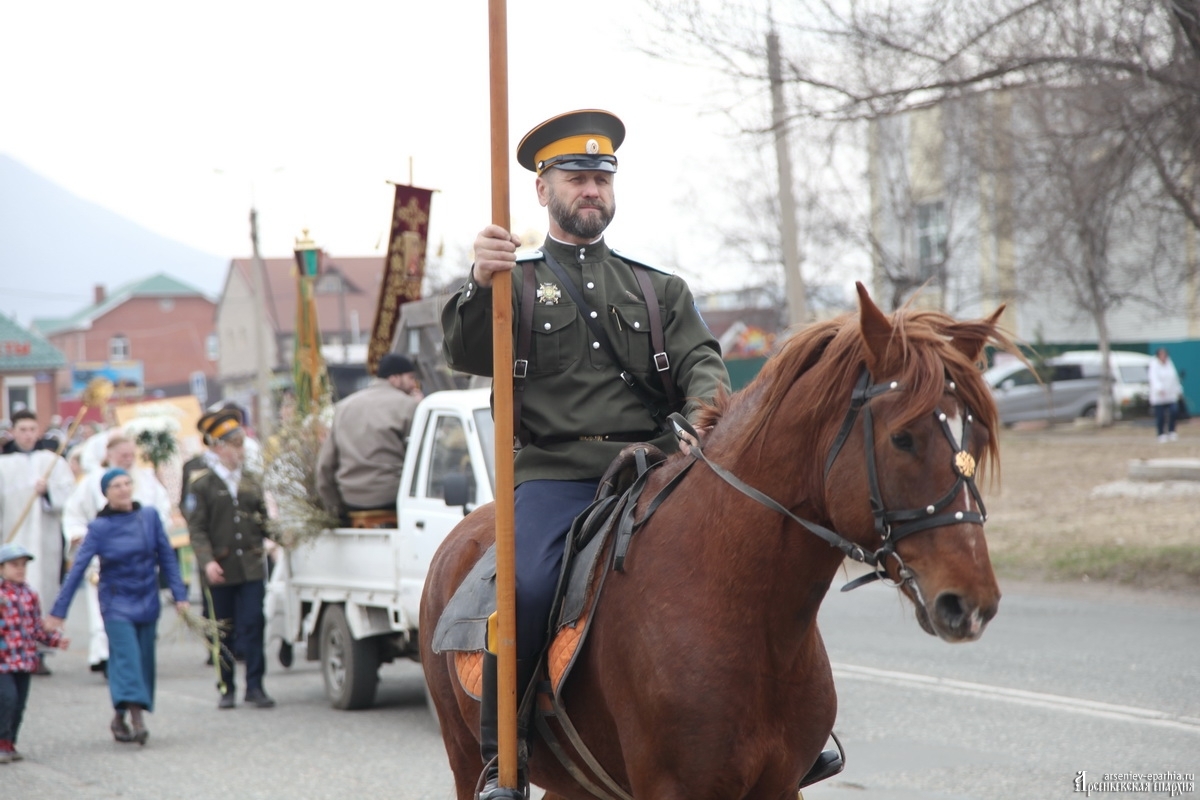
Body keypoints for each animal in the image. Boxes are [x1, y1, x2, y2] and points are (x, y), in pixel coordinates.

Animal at [420, 282, 1014, 800]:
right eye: (903, 438)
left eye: (978, 437)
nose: (971, 604)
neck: (747, 614)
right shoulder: (675, 789)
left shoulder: (780, 787)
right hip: (464, 759)